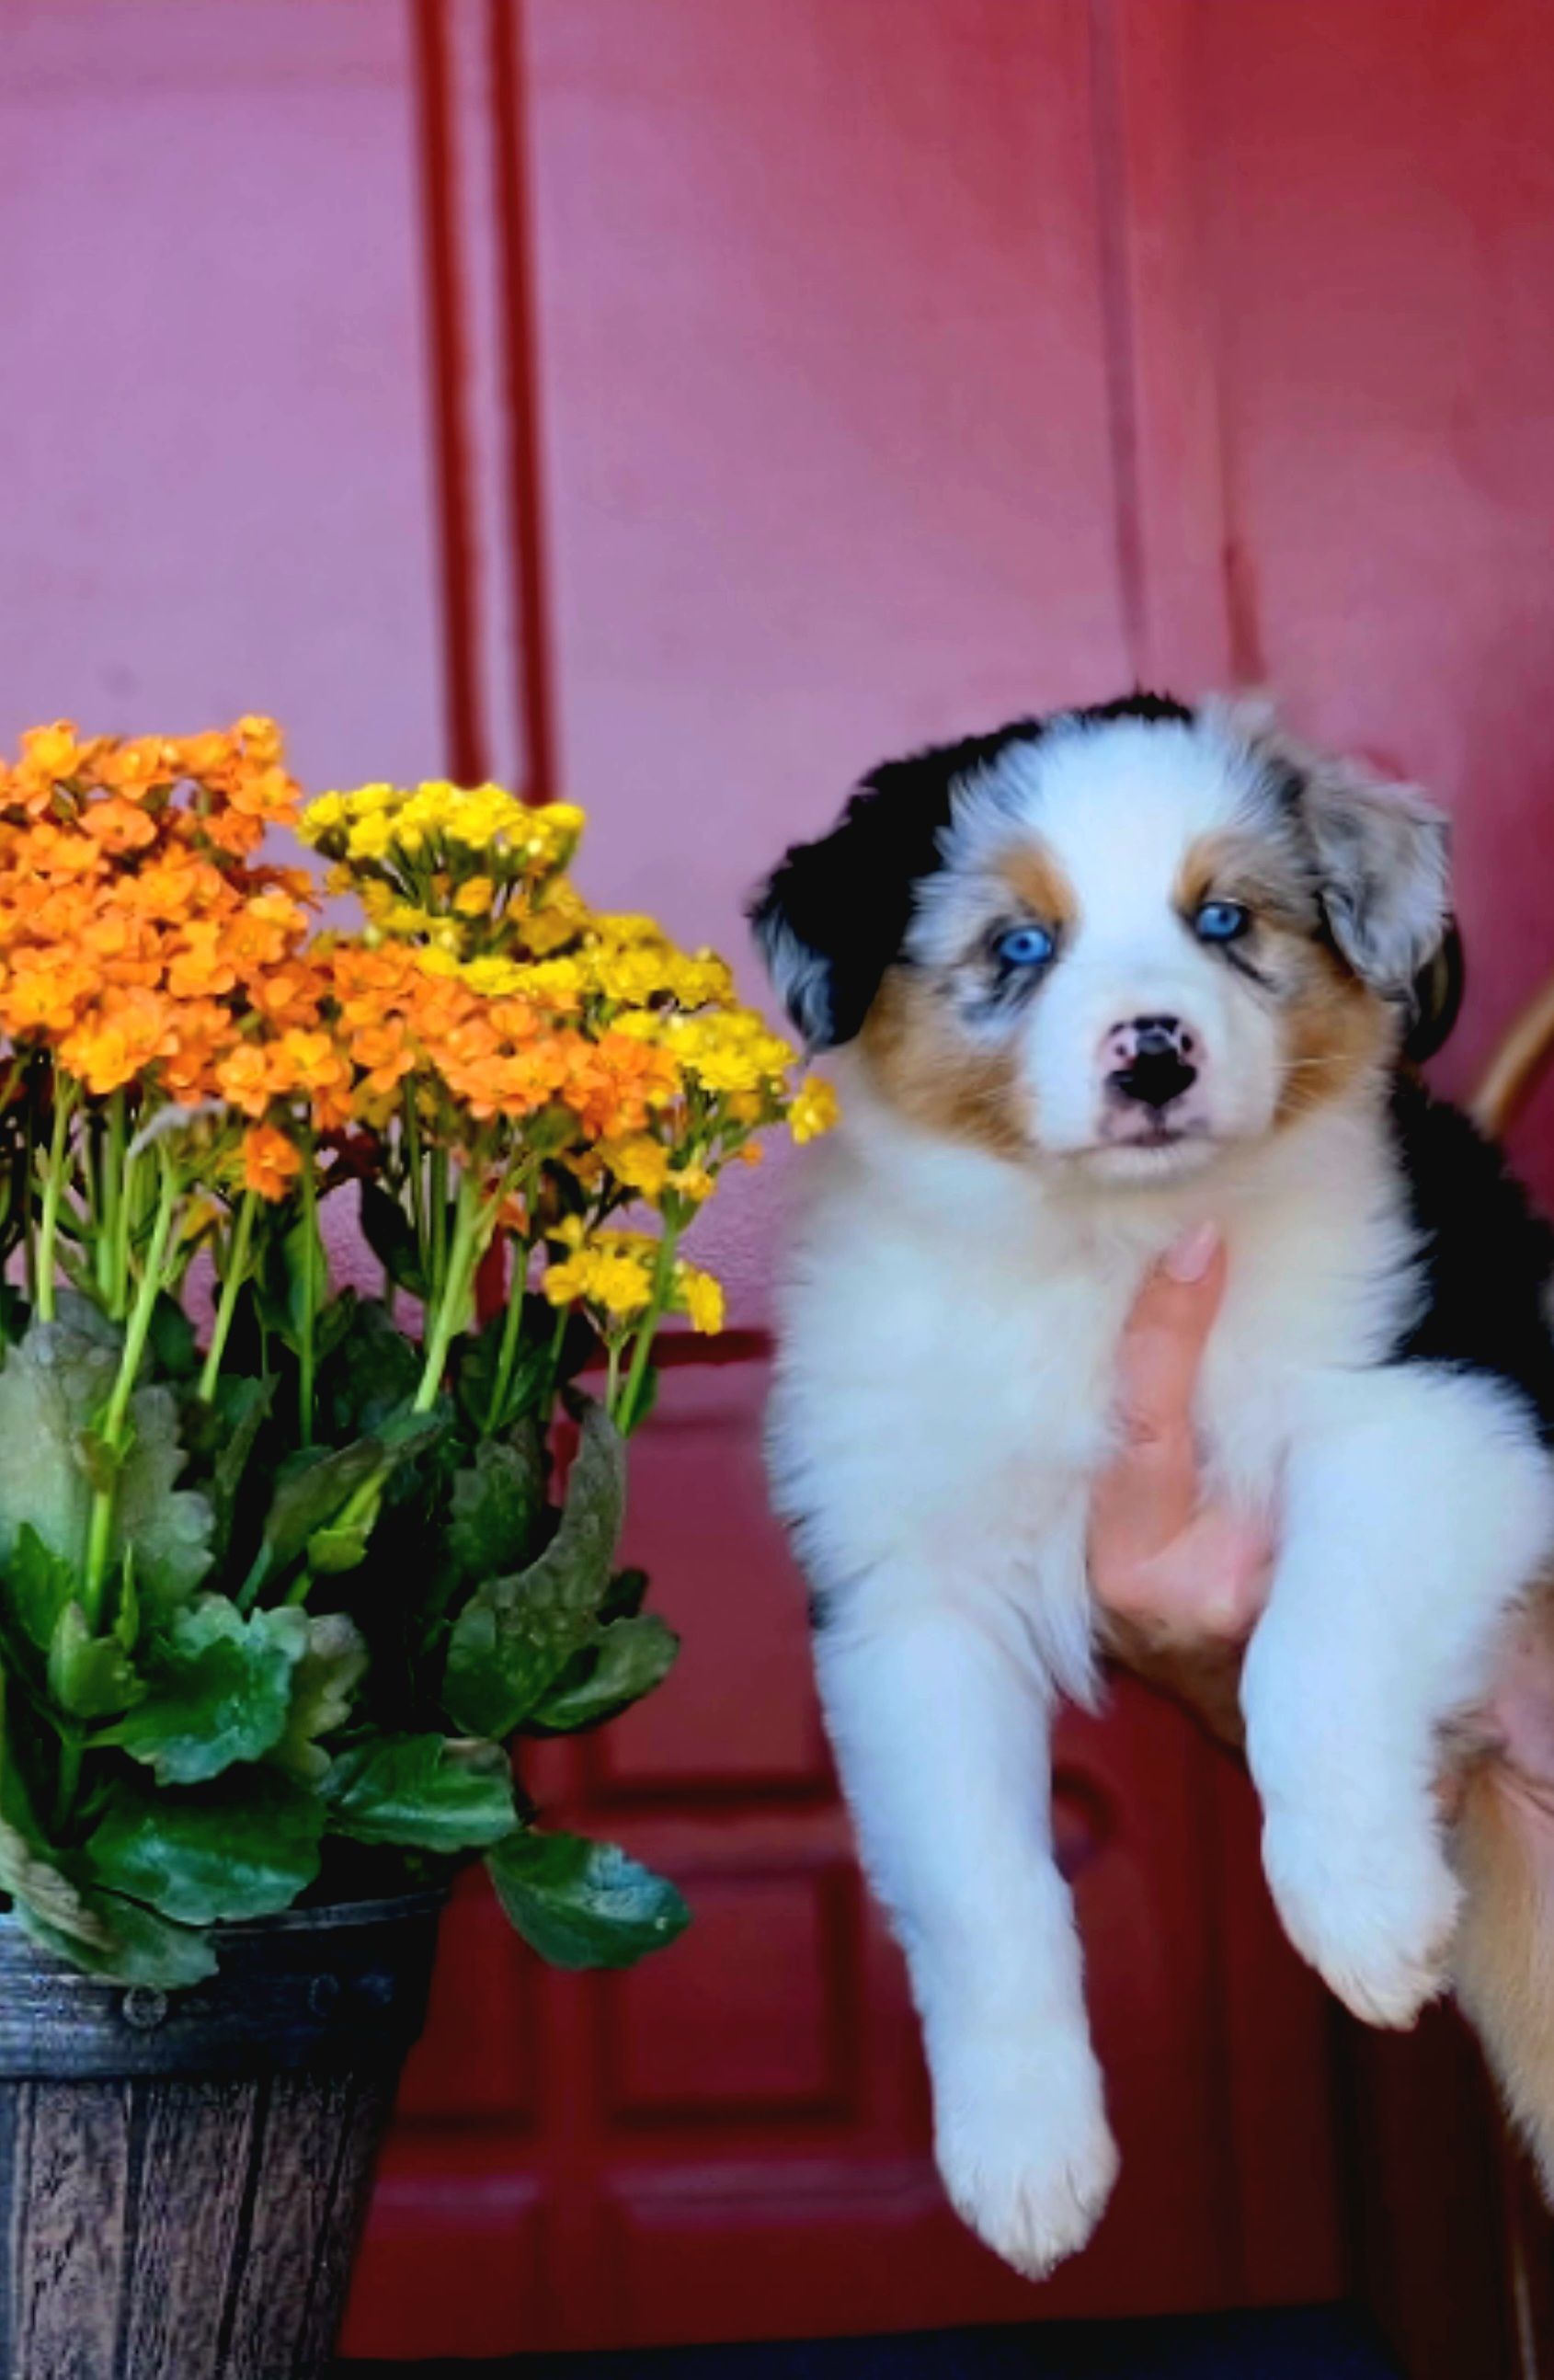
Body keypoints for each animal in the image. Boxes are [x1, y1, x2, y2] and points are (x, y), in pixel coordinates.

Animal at [750, 692, 1554, 2278]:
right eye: (1018, 945)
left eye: (1223, 918)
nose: (1154, 1056)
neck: (1106, 1251)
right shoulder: (907, 1602)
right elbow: (976, 1886)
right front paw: (1022, 2157)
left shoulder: (1443, 1402)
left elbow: (1316, 1653)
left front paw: (1360, 1907)